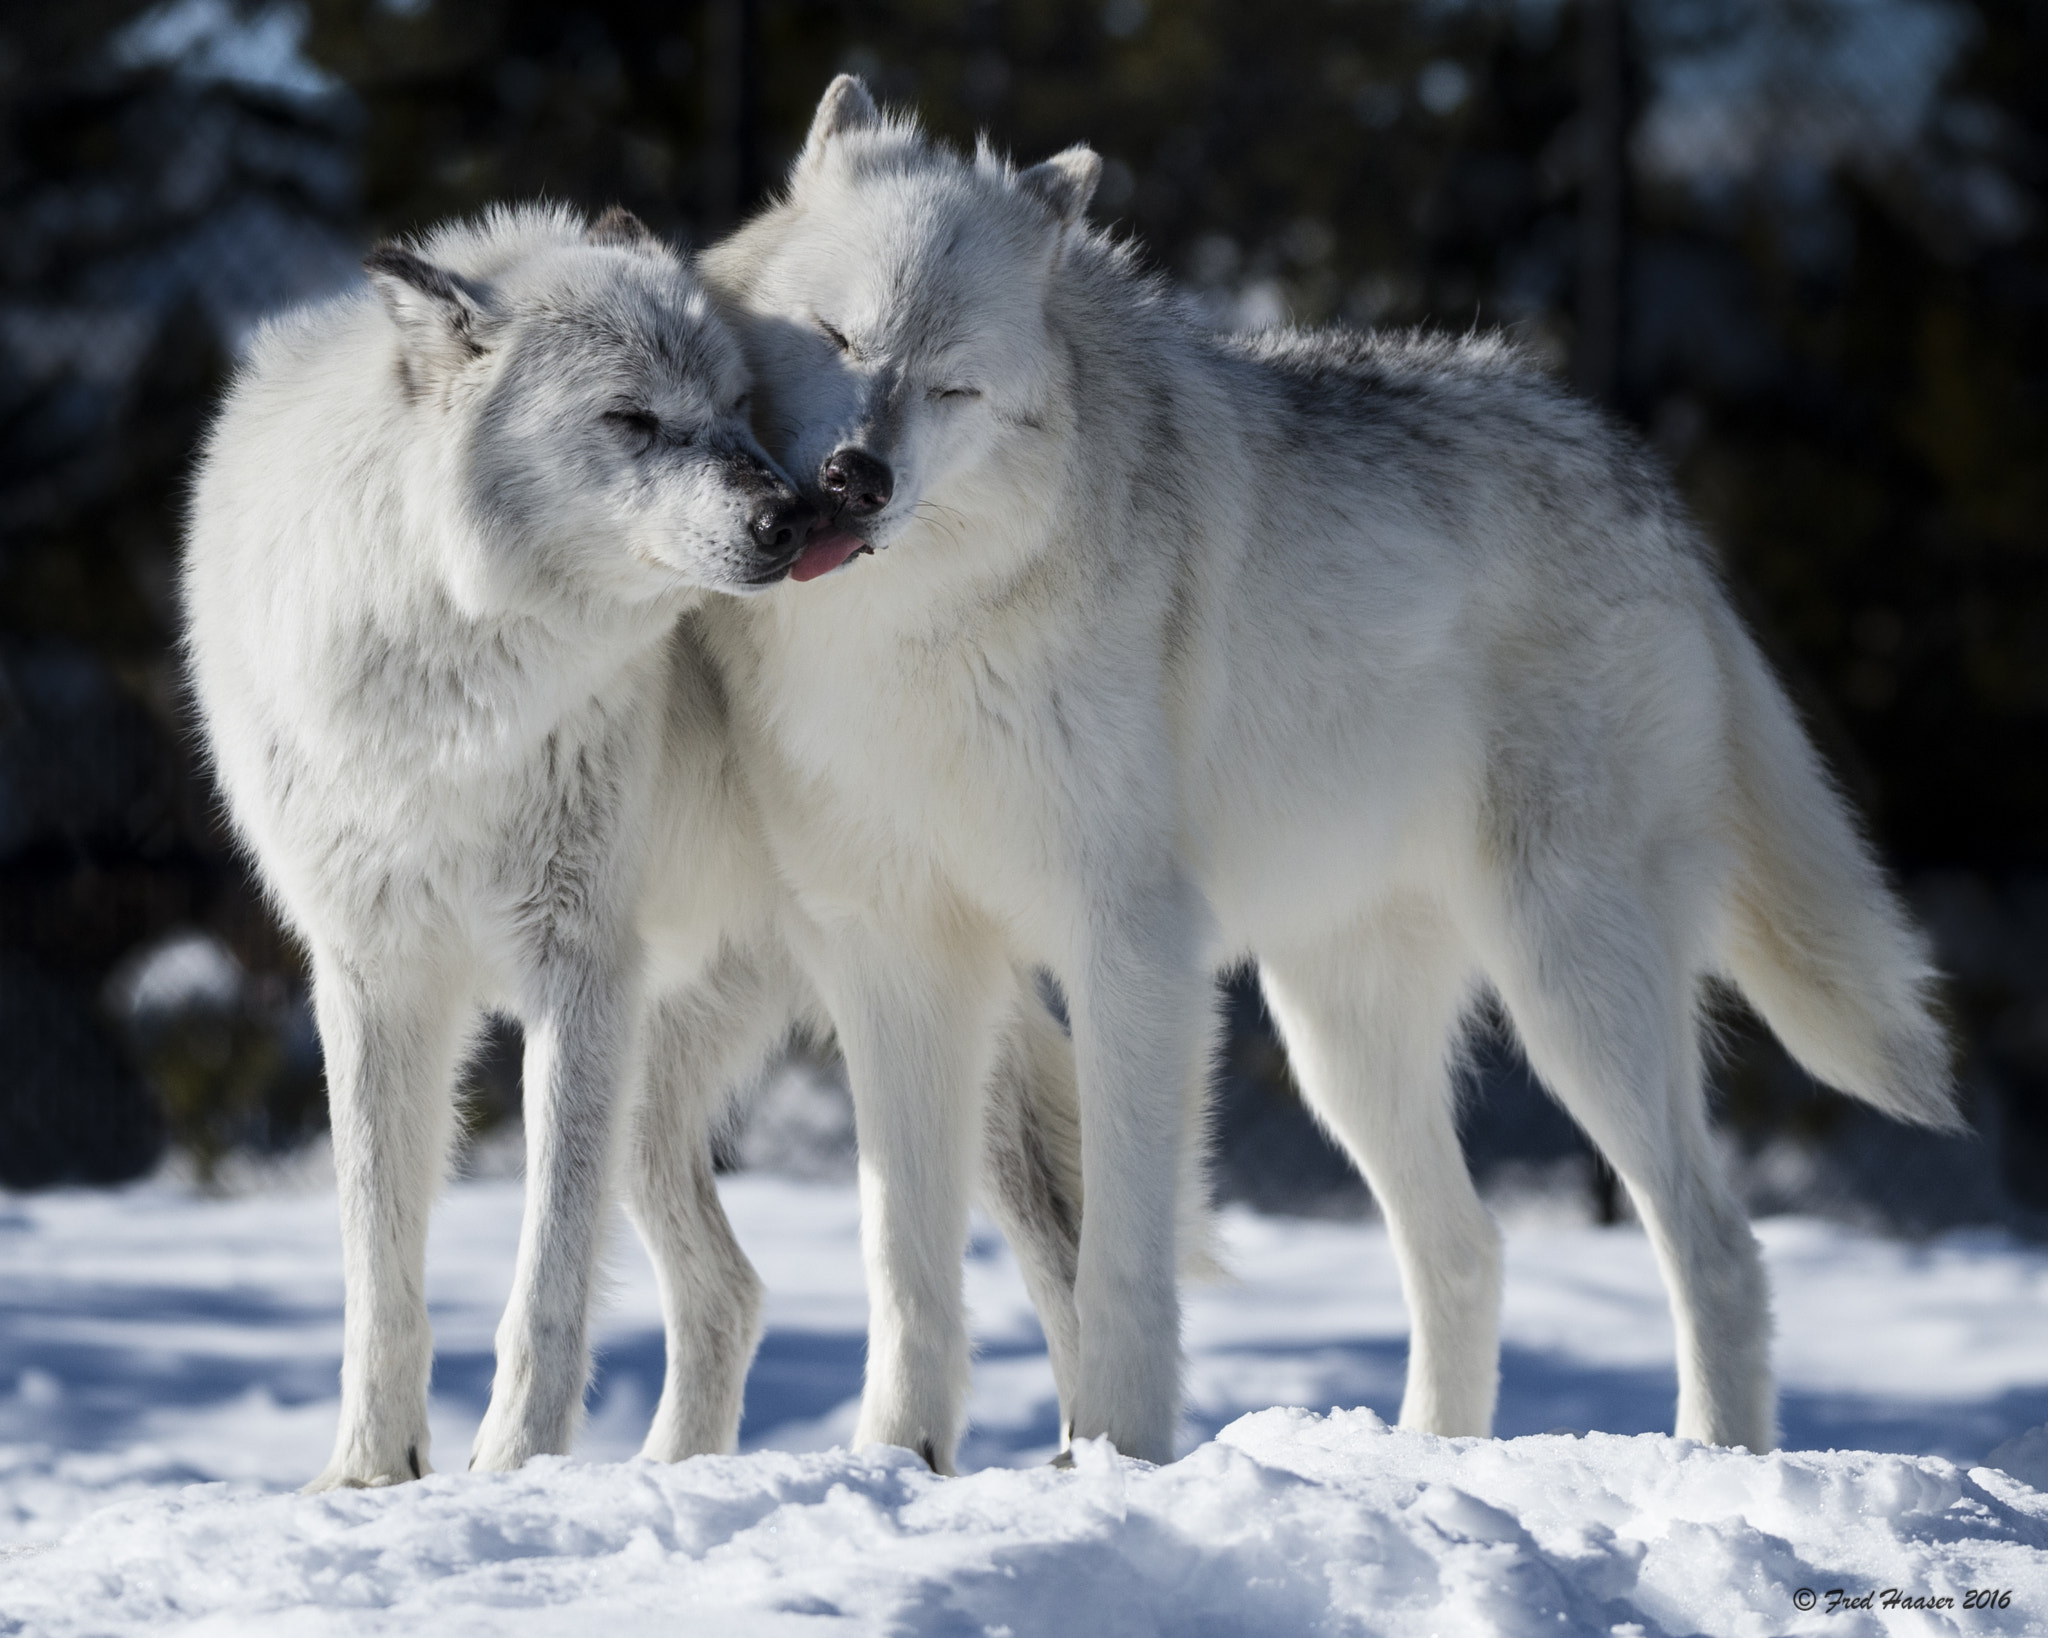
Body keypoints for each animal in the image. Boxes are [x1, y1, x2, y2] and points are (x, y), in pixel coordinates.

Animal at [183, 202, 1089, 1487]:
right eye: (630, 417)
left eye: (734, 405)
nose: (791, 515)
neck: (460, 699)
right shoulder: (373, 978)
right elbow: (379, 1275)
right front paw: (366, 1475)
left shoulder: (575, 975)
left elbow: (546, 1279)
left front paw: (512, 1468)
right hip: (662, 1084)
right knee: (731, 1292)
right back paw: (673, 1474)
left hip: (890, 1022)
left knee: (1054, 1233)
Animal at [698, 77, 1958, 1465]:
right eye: (837, 334)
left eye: (954, 388)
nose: (855, 476)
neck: (911, 648)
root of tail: (1649, 491)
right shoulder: (897, 966)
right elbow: (903, 1262)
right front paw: (894, 1462)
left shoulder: (1129, 951)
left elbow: (1118, 1257)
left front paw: (1115, 1458)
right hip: (1339, 1040)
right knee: (1467, 1253)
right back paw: (1428, 1459)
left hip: (1568, 994)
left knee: (1717, 1248)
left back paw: (1704, 1463)